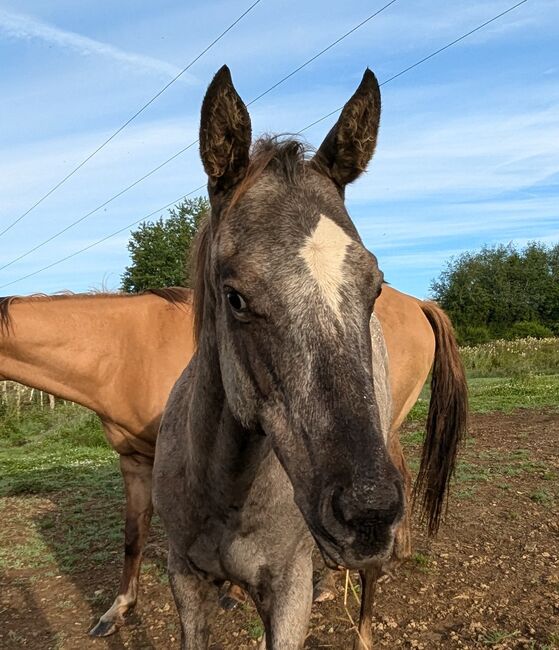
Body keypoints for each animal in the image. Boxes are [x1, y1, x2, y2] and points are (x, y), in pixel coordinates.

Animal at [1, 280, 460, 640]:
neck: (127, 351)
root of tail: (418, 303)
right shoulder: (135, 462)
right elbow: (132, 535)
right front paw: (118, 609)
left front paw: (233, 594)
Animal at [152, 67, 468, 648]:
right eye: (235, 298)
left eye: (374, 287)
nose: (368, 512)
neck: (224, 492)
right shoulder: (183, 579)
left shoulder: (288, 593)